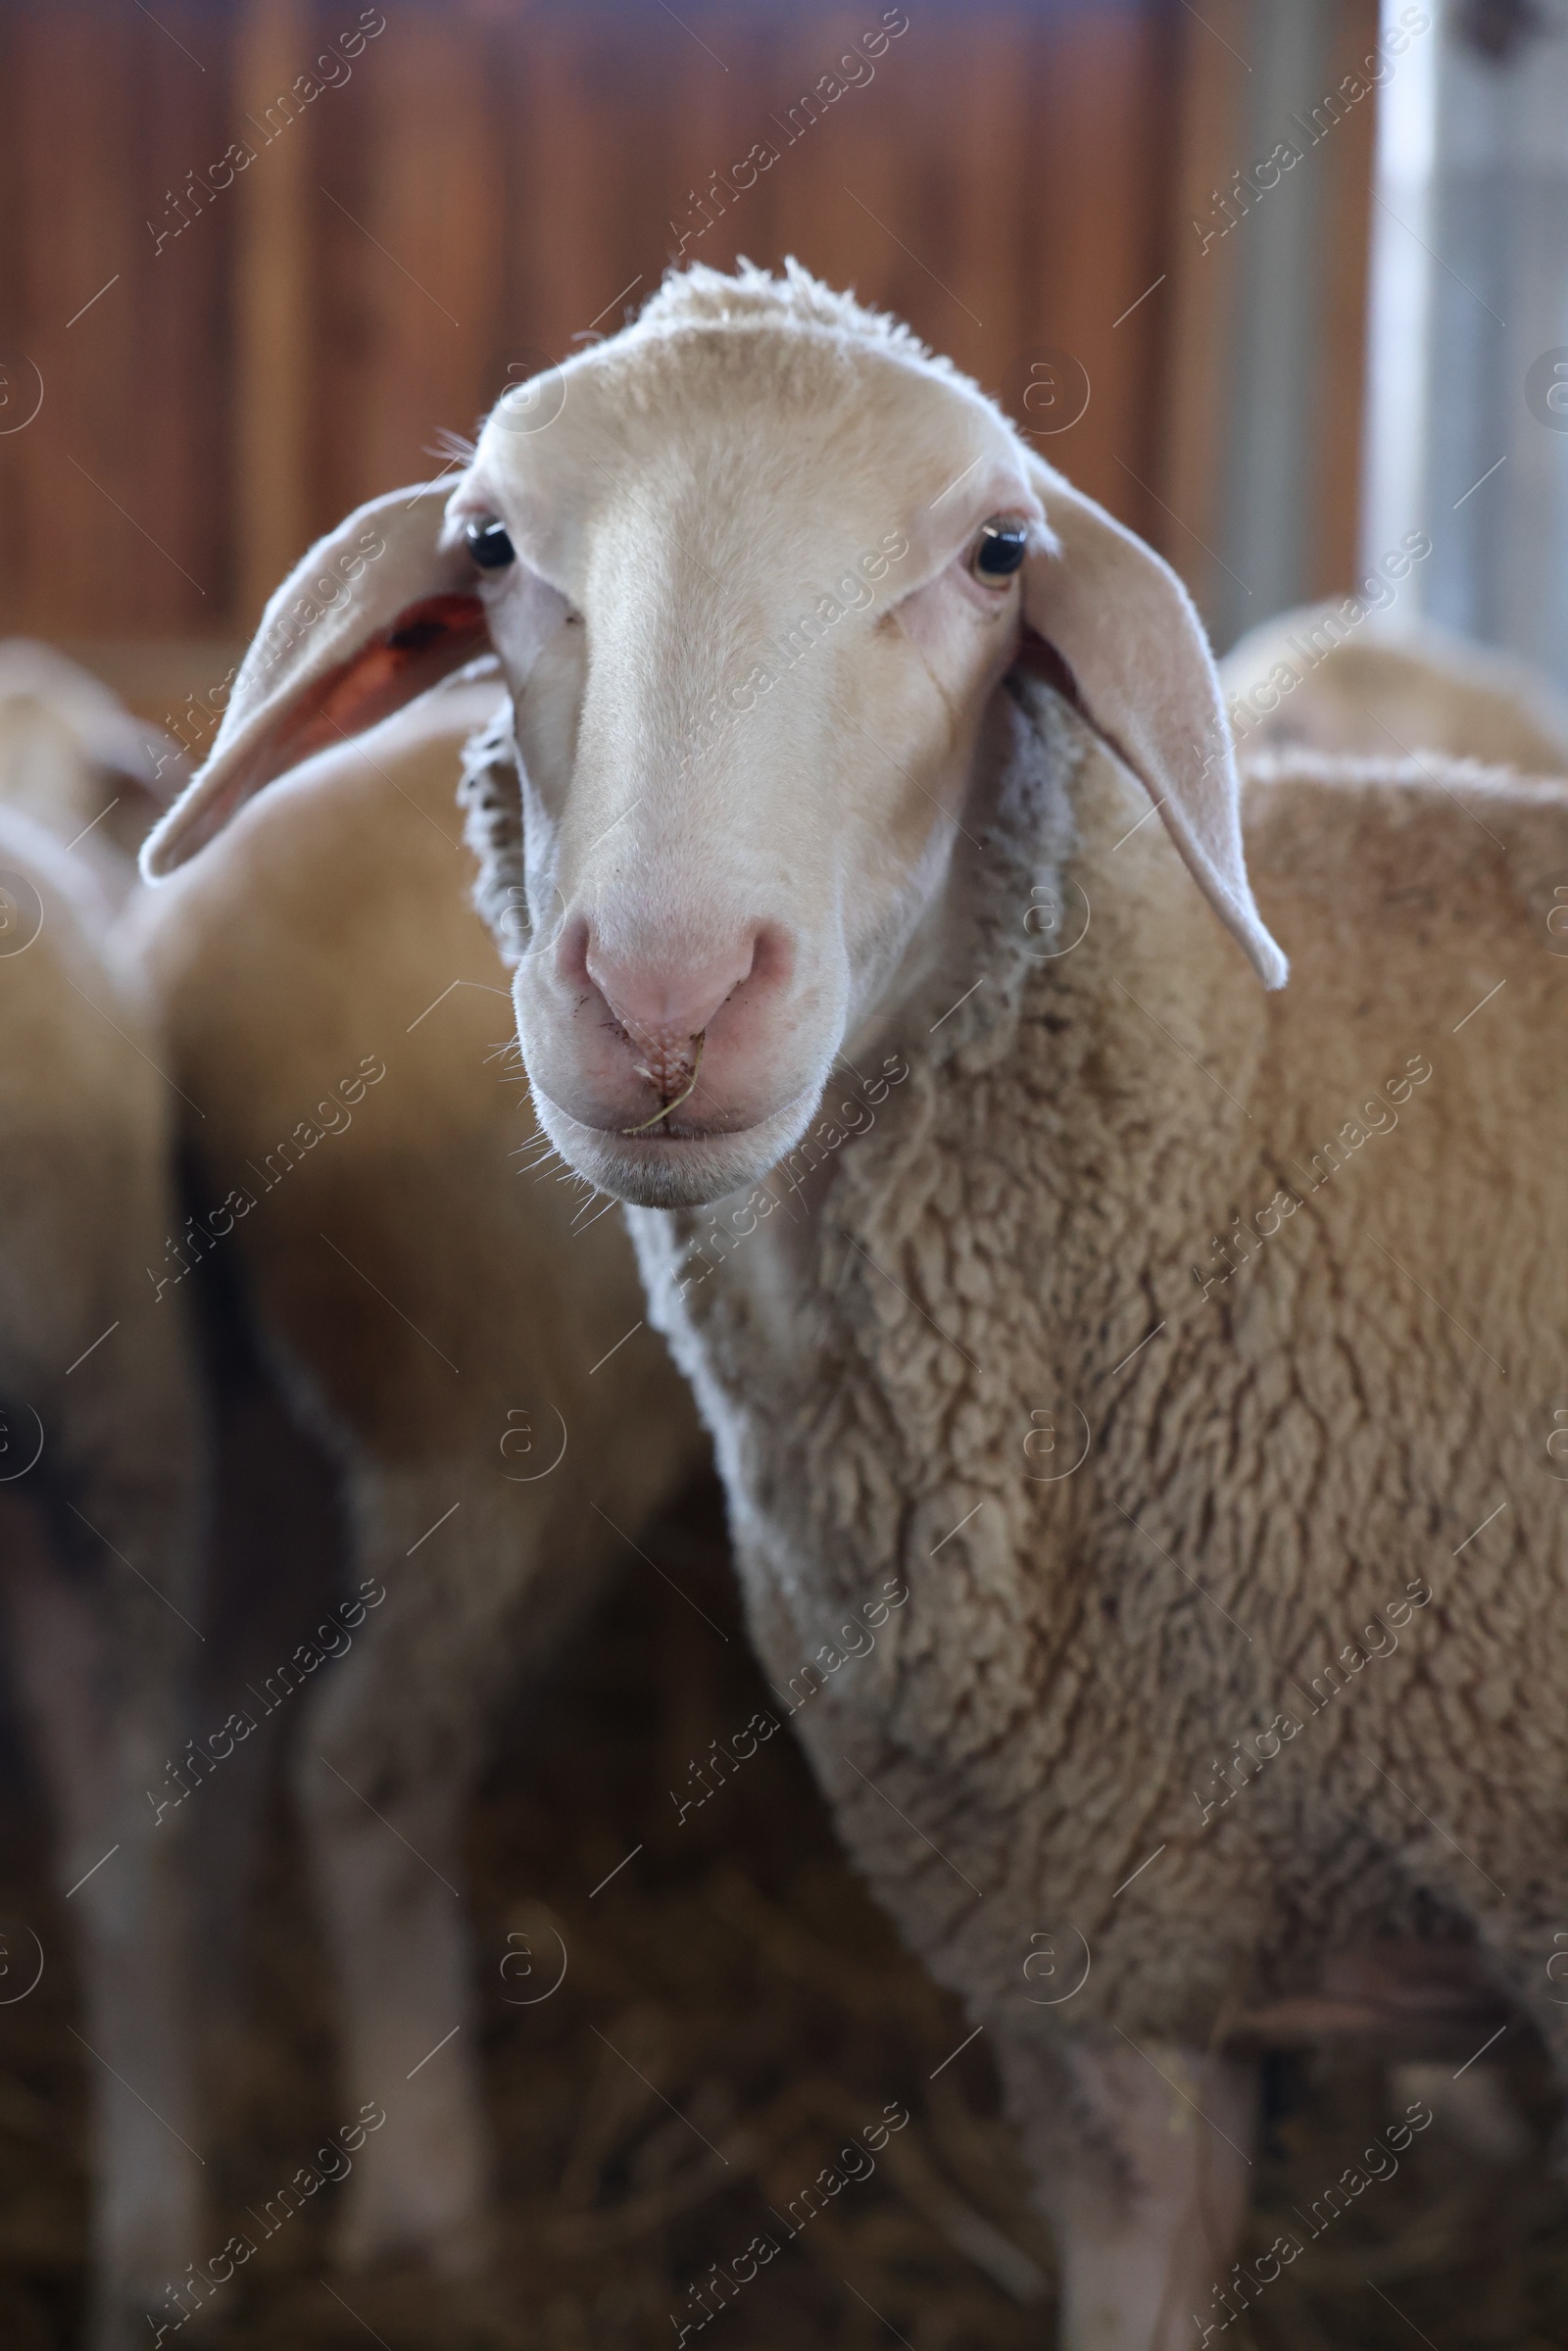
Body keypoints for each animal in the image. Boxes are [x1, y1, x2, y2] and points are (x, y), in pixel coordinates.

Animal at [125, 658, 700, 2276]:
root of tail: (178, 967)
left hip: (259, 1411)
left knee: (211, 1719)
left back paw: (221, 2055)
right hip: (494, 1413)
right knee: (362, 1765)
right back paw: (425, 2198)